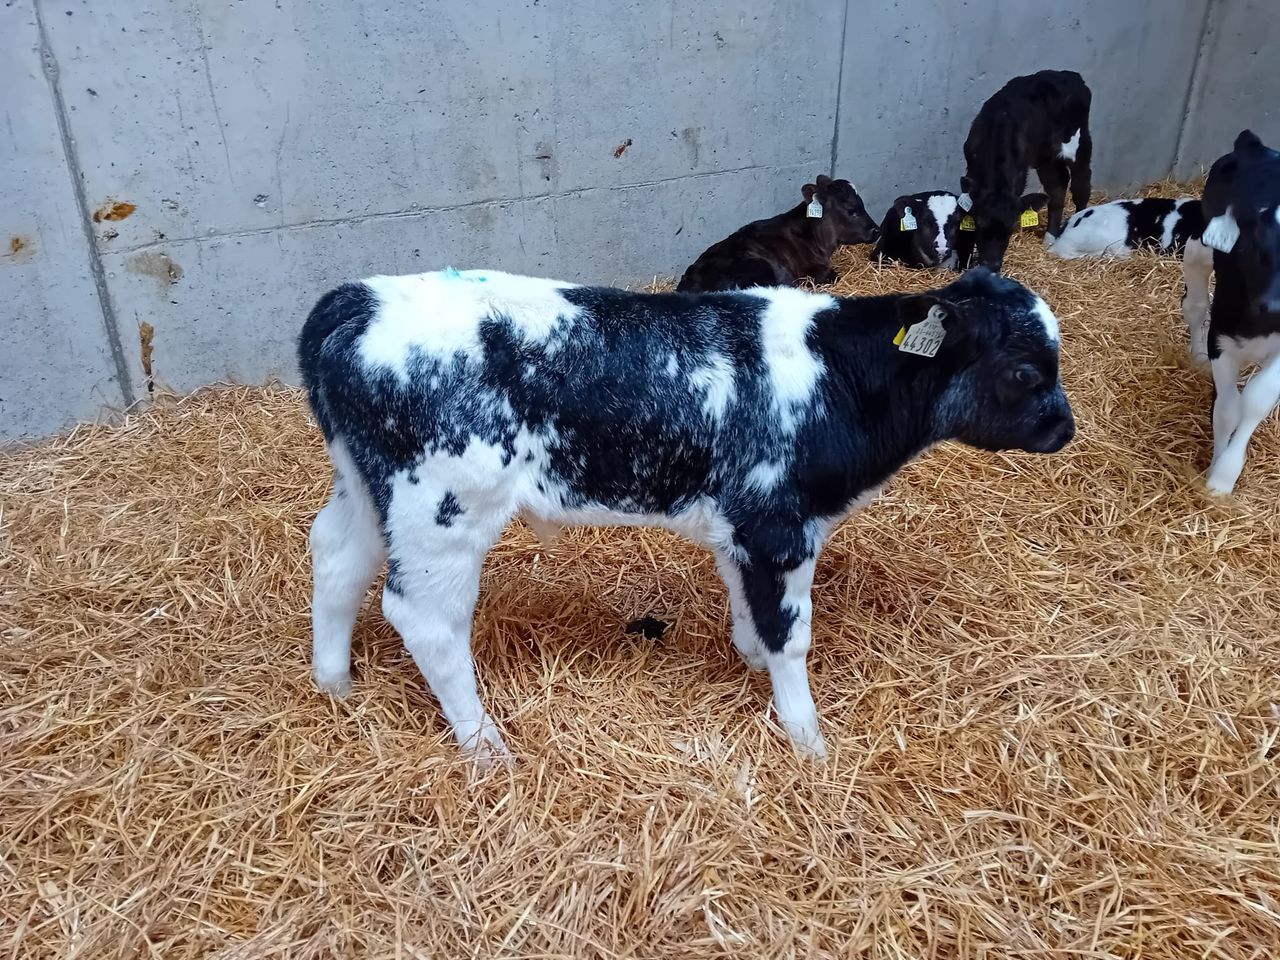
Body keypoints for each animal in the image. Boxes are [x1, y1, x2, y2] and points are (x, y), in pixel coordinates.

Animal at [298, 266, 1074, 762]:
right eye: (1026, 372)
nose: (1065, 429)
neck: (838, 380)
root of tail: (353, 302)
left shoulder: (741, 531)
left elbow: (749, 612)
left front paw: (753, 662)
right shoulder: (779, 528)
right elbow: (790, 635)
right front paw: (808, 740)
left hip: (367, 490)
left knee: (336, 557)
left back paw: (335, 684)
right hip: (444, 510)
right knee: (425, 618)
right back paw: (484, 744)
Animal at [961, 69, 1093, 272]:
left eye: (1010, 228)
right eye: (980, 224)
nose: (992, 265)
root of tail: (1071, 75)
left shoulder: (1018, 175)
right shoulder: (971, 166)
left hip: (1079, 142)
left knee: (1081, 186)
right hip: (1046, 157)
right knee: (1057, 187)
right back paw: (1050, 238)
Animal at [1181, 130, 1280, 495]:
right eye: (1256, 247)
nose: (1273, 306)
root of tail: (1253, 143)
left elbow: (1256, 401)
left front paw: (1226, 471)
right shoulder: (1221, 338)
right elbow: (1227, 409)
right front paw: (1216, 479)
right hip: (1198, 246)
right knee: (1195, 306)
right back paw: (1196, 354)